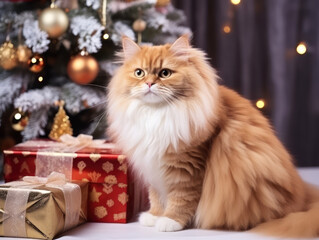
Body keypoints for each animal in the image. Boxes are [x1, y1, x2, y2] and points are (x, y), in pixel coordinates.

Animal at [107, 34, 319, 237]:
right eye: (139, 73)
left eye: (165, 73)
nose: (149, 83)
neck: (157, 114)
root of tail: (303, 195)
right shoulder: (153, 168)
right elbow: (157, 197)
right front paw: (154, 216)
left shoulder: (187, 169)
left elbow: (181, 200)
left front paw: (170, 221)